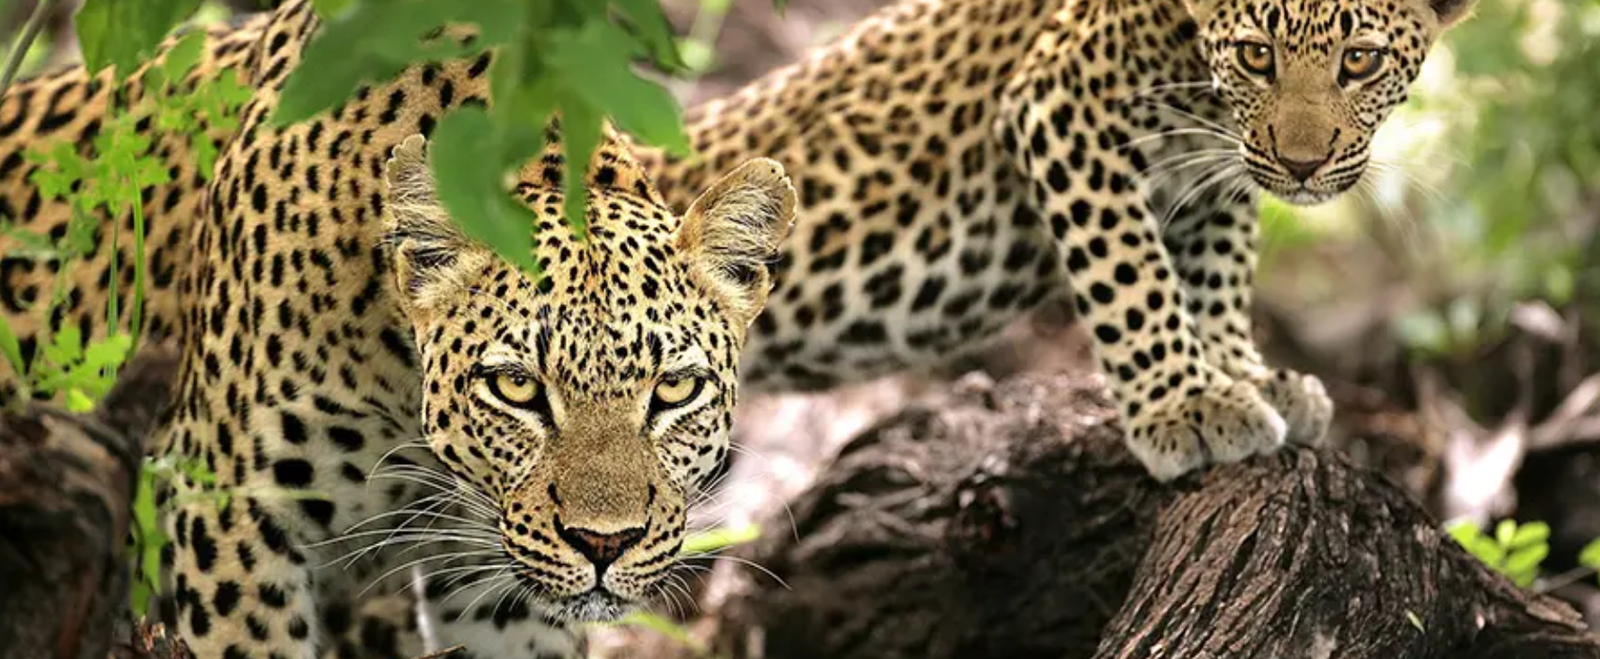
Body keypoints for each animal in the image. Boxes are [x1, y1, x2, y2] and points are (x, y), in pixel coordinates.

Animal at [637, 0, 1477, 480]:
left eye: (1360, 59)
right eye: (1255, 54)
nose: (1303, 165)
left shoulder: (1216, 167)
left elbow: (1214, 270)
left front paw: (1249, 377)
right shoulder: (1062, 107)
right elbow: (1133, 276)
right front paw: (1190, 404)